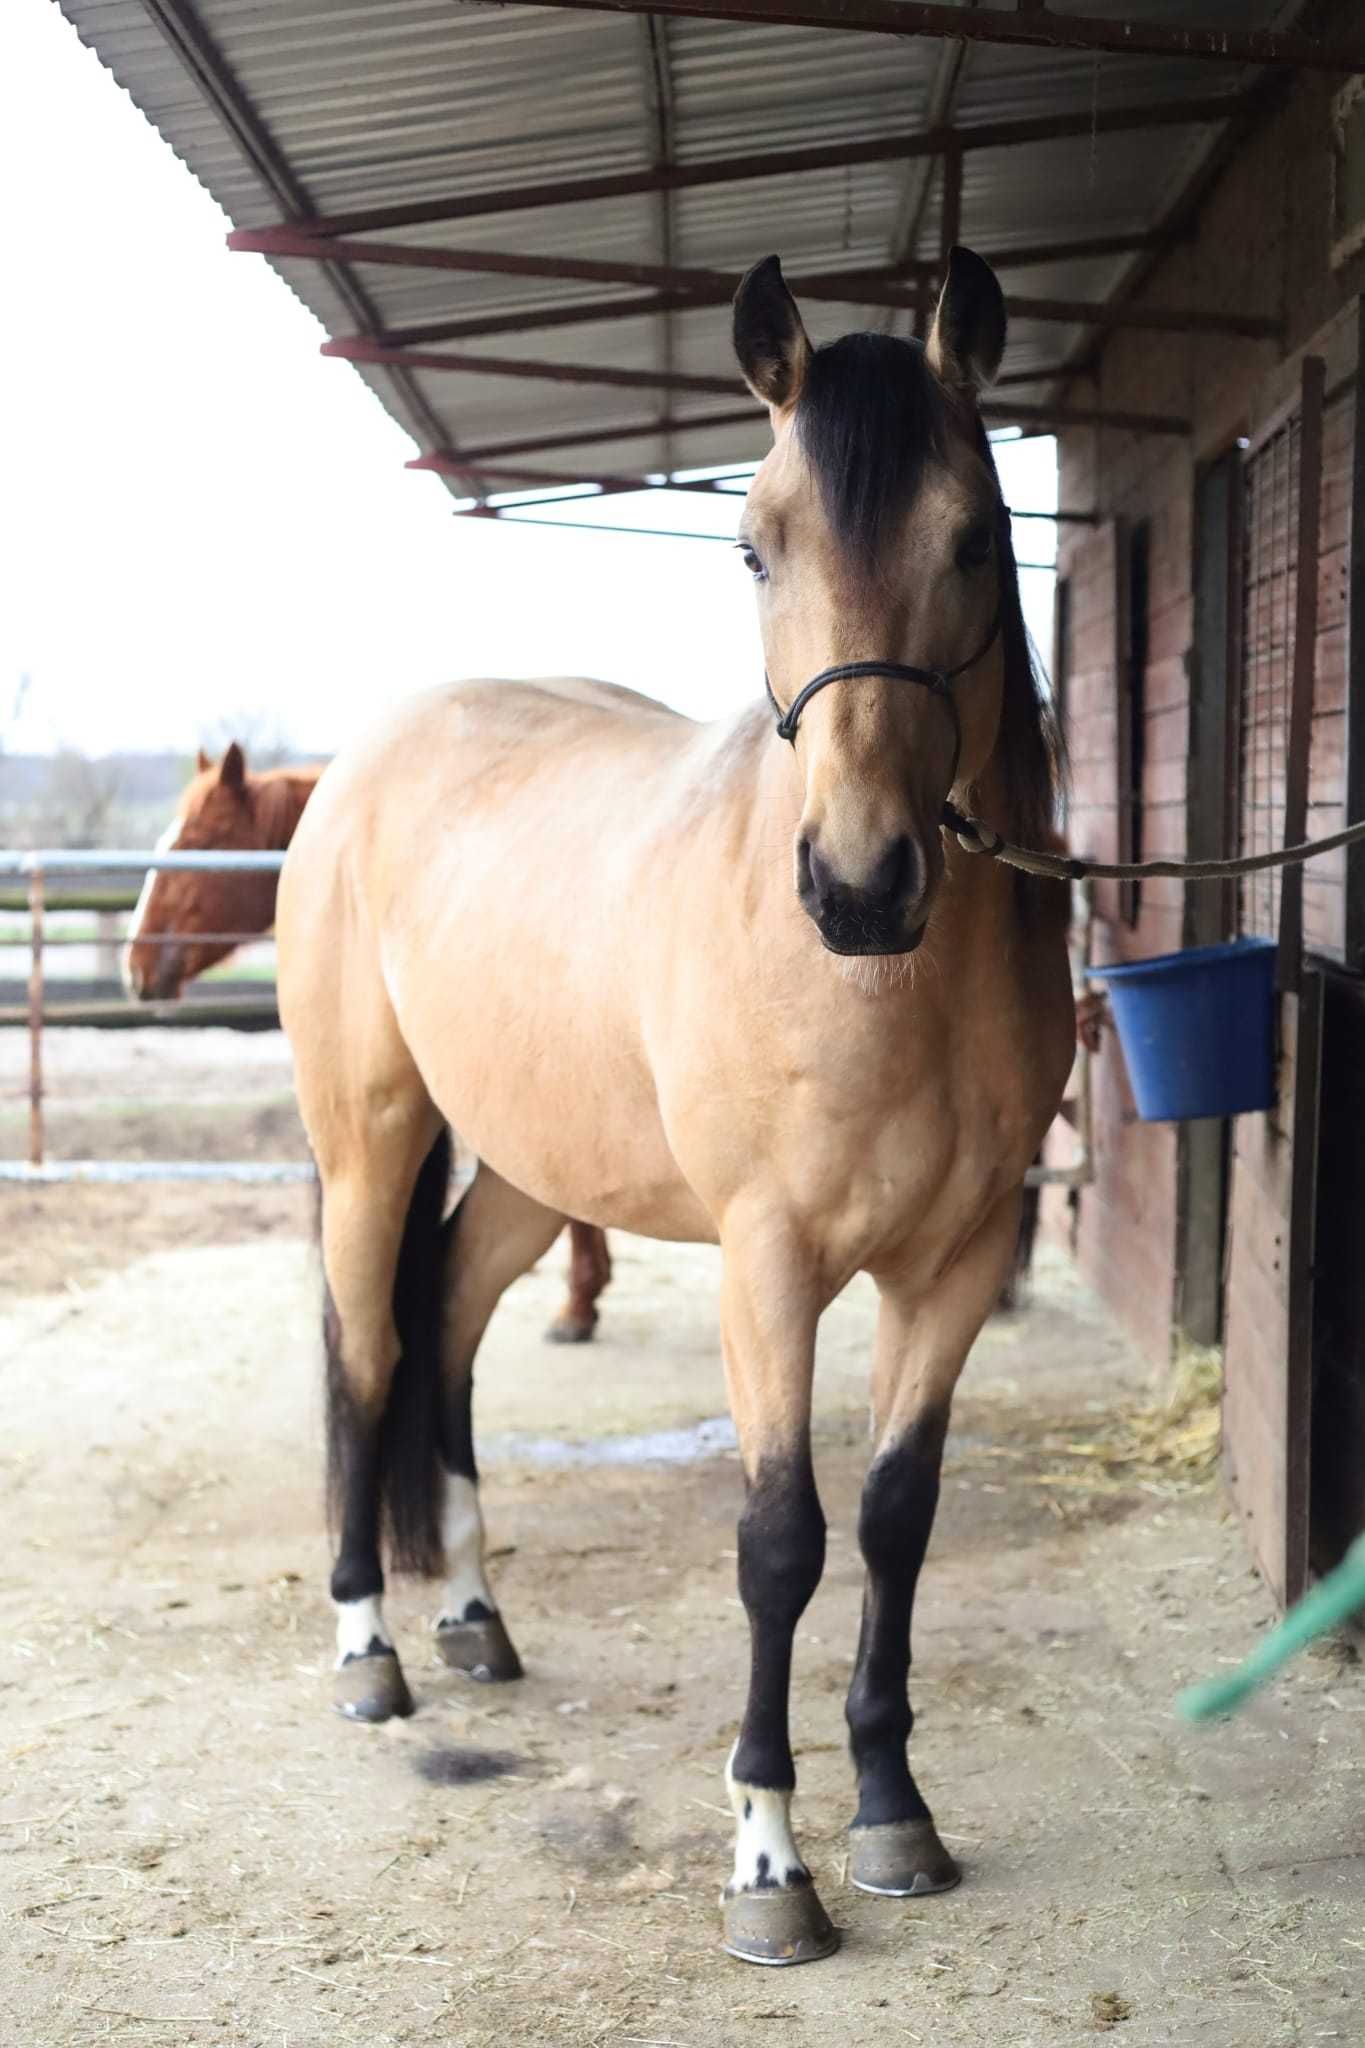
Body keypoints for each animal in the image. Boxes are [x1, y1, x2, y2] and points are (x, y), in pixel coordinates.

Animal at [278, 256, 1080, 1966]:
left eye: (975, 539)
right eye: (753, 543)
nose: (859, 884)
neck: (888, 995)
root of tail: (368, 757)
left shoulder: (958, 1264)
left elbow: (897, 1519)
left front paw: (894, 1812)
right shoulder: (767, 1264)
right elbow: (780, 1540)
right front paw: (770, 1864)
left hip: (531, 1167)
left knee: (447, 1324)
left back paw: (475, 1616)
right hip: (367, 1142)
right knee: (368, 1353)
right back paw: (370, 1646)